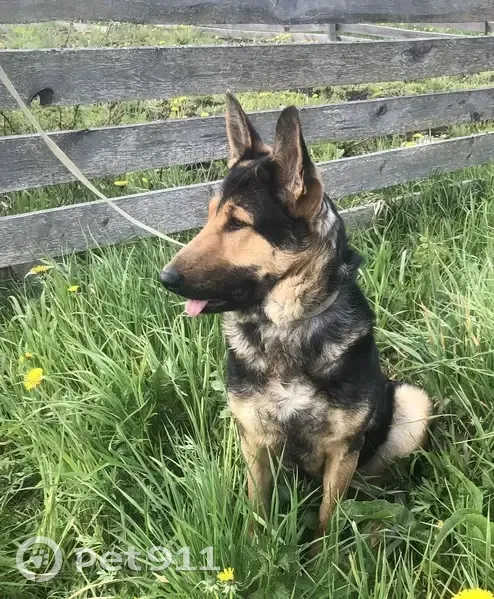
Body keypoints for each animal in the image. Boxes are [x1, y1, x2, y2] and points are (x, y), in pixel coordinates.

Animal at [160, 93, 432, 552]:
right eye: (210, 216)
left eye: (237, 223)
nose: (165, 278)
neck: (287, 327)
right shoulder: (254, 440)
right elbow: (258, 507)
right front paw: (257, 550)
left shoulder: (343, 449)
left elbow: (327, 518)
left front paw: (325, 561)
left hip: (411, 403)